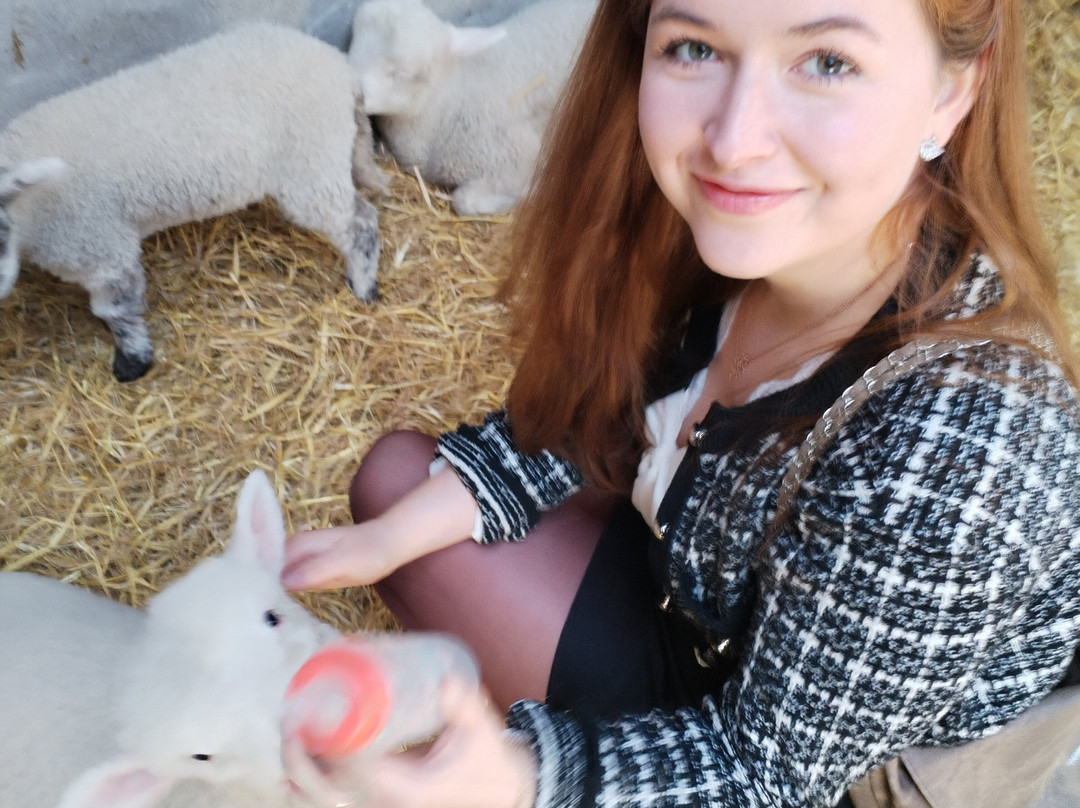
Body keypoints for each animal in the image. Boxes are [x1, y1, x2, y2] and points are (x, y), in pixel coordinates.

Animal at [0, 21, 386, 382]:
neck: (28, 214)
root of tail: (338, 67)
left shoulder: (101, 248)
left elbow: (116, 311)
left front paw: (132, 362)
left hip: (310, 160)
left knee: (361, 223)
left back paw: (364, 287)